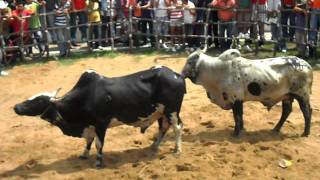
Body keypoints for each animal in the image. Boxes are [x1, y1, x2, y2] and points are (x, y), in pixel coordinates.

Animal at [182, 49, 312, 136]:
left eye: (189, 62)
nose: (182, 73)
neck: (217, 70)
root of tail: (306, 65)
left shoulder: (235, 99)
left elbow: (237, 116)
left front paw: (236, 133)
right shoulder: (239, 100)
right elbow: (240, 116)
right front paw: (241, 129)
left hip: (302, 95)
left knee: (307, 112)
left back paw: (305, 133)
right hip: (287, 96)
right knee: (286, 111)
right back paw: (276, 129)